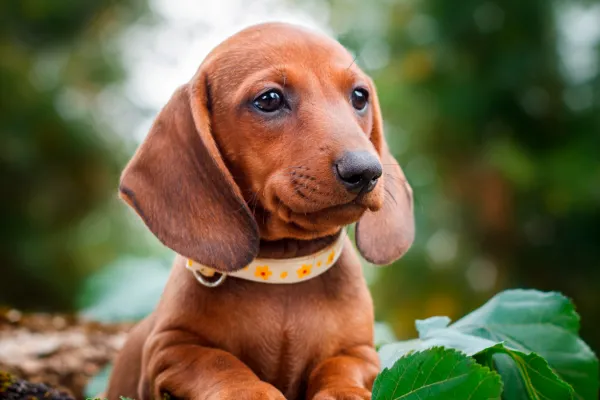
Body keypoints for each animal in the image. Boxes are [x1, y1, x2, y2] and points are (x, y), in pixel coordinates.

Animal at [106, 22, 412, 400]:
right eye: (269, 99)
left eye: (359, 96)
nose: (367, 171)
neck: (283, 271)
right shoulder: (169, 349)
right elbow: (219, 363)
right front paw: (250, 391)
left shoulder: (360, 352)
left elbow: (340, 366)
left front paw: (344, 392)